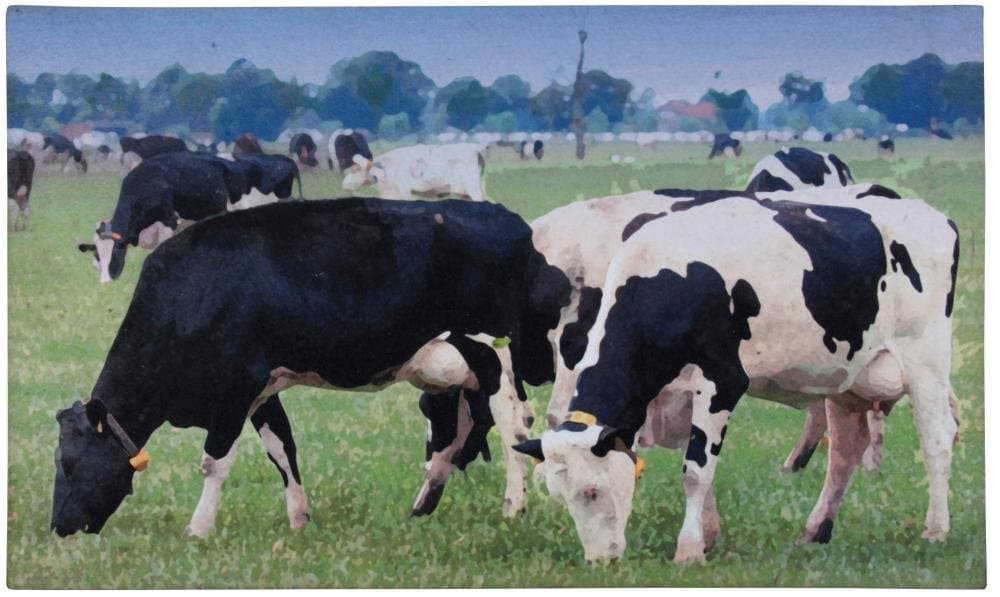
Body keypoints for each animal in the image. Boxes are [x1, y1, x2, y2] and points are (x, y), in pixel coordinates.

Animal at [51, 198, 569, 537]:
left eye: (68, 463)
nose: (59, 527)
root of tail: (508, 219)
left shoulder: (236, 388)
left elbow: (214, 461)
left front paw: (198, 529)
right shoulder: (264, 389)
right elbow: (283, 450)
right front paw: (299, 518)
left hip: (490, 351)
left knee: (511, 423)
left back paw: (513, 507)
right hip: (450, 371)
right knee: (458, 430)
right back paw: (422, 507)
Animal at [515, 187, 959, 564]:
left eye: (592, 491)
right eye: (560, 495)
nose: (600, 561)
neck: (672, 279)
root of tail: (932, 214)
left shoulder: (722, 381)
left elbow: (696, 471)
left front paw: (689, 550)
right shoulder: (676, 394)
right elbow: (699, 465)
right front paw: (708, 536)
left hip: (926, 361)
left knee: (937, 439)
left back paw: (936, 530)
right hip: (847, 379)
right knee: (846, 451)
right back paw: (815, 530)